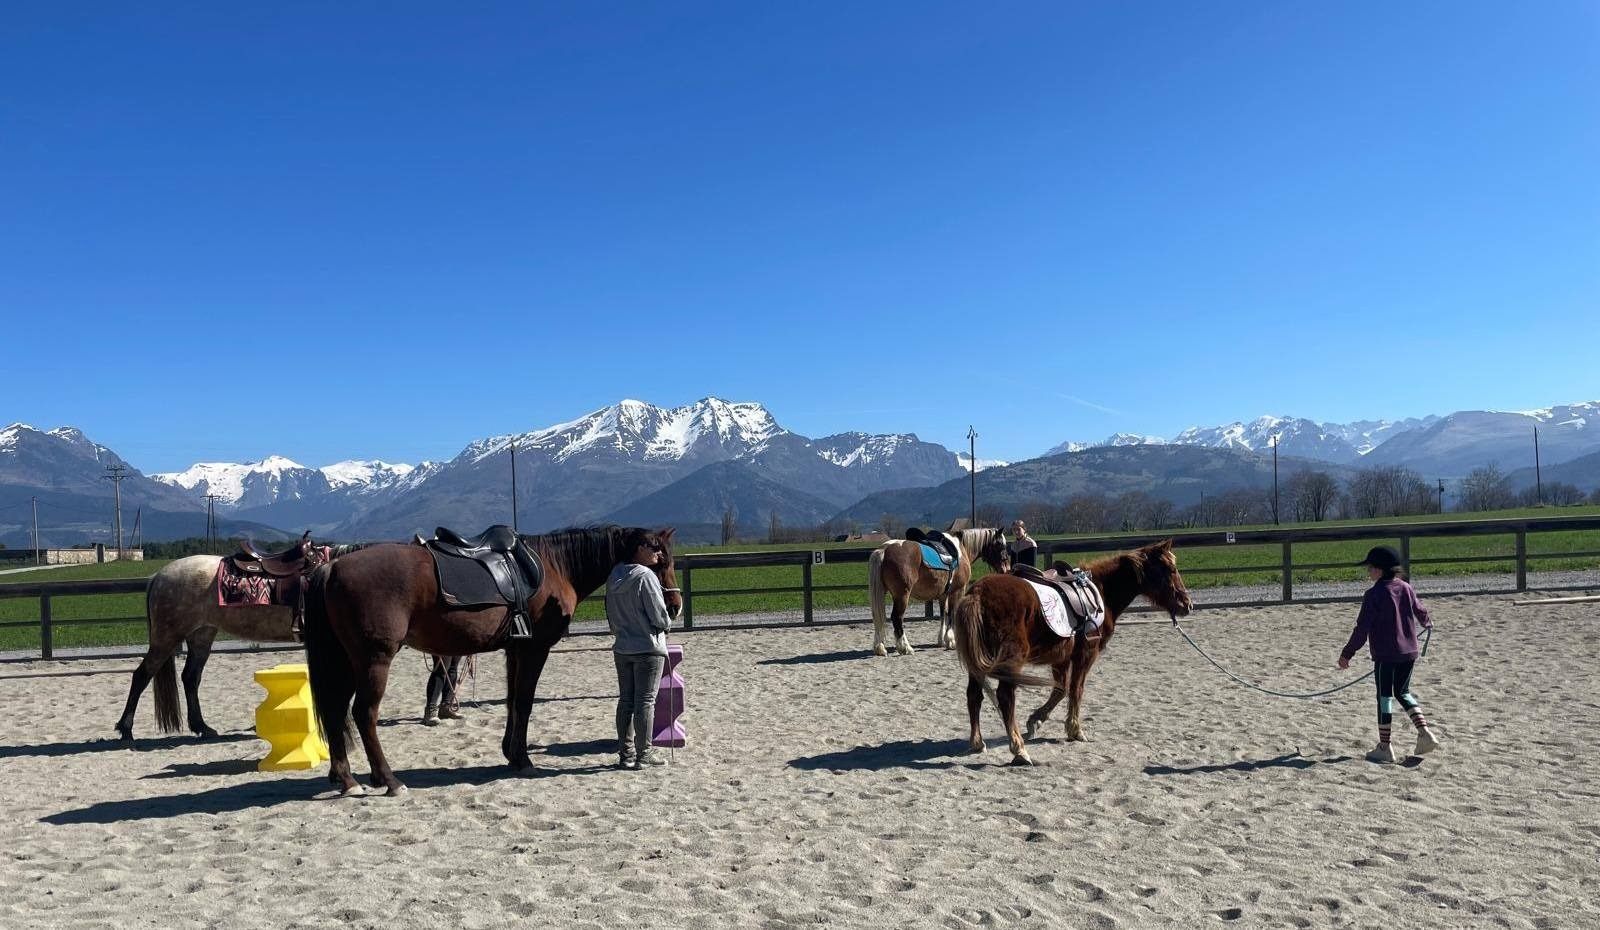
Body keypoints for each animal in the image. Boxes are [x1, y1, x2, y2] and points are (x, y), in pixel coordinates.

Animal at [114, 541, 354, 743]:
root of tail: (159, 576)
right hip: (166, 638)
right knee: (142, 676)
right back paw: (126, 729)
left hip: (201, 636)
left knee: (190, 678)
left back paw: (202, 727)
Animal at [302, 525, 680, 797]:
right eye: (660, 561)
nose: (674, 607)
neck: (555, 566)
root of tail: (333, 566)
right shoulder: (534, 649)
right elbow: (524, 702)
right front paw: (524, 759)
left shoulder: (515, 650)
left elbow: (512, 702)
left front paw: (510, 754)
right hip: (373, 660)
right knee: (363, 714)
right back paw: (389, 780)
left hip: (343, 661)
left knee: (335, 711)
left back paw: (345, 779)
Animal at [867, 527, 1009, 656]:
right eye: (1000, 544)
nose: (1006, 568)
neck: (961, 549)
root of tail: (884, 550)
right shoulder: (957, 591)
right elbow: (951, 613)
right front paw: (951, 641)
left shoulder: (943, 594)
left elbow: (943, 615)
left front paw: (941, 639)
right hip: (902, 595)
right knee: (897, 618)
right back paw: (905, 647)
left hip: (883, 593)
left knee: (878, 616)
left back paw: (880, 647)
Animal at [953, 539, 1192, 765]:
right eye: (1171, 569)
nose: (1187, 604)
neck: (1101, 592)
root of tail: (977, 594)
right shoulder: (1086, 654)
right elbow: (1076, 689)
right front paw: (1075, 730)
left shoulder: (1061, 658)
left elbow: (1060, 690)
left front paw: (1036, 720)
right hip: (1011, 662)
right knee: (1005, 697)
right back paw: (1019, 749)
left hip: (978, 665)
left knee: (974, 695)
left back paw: (977, 742)